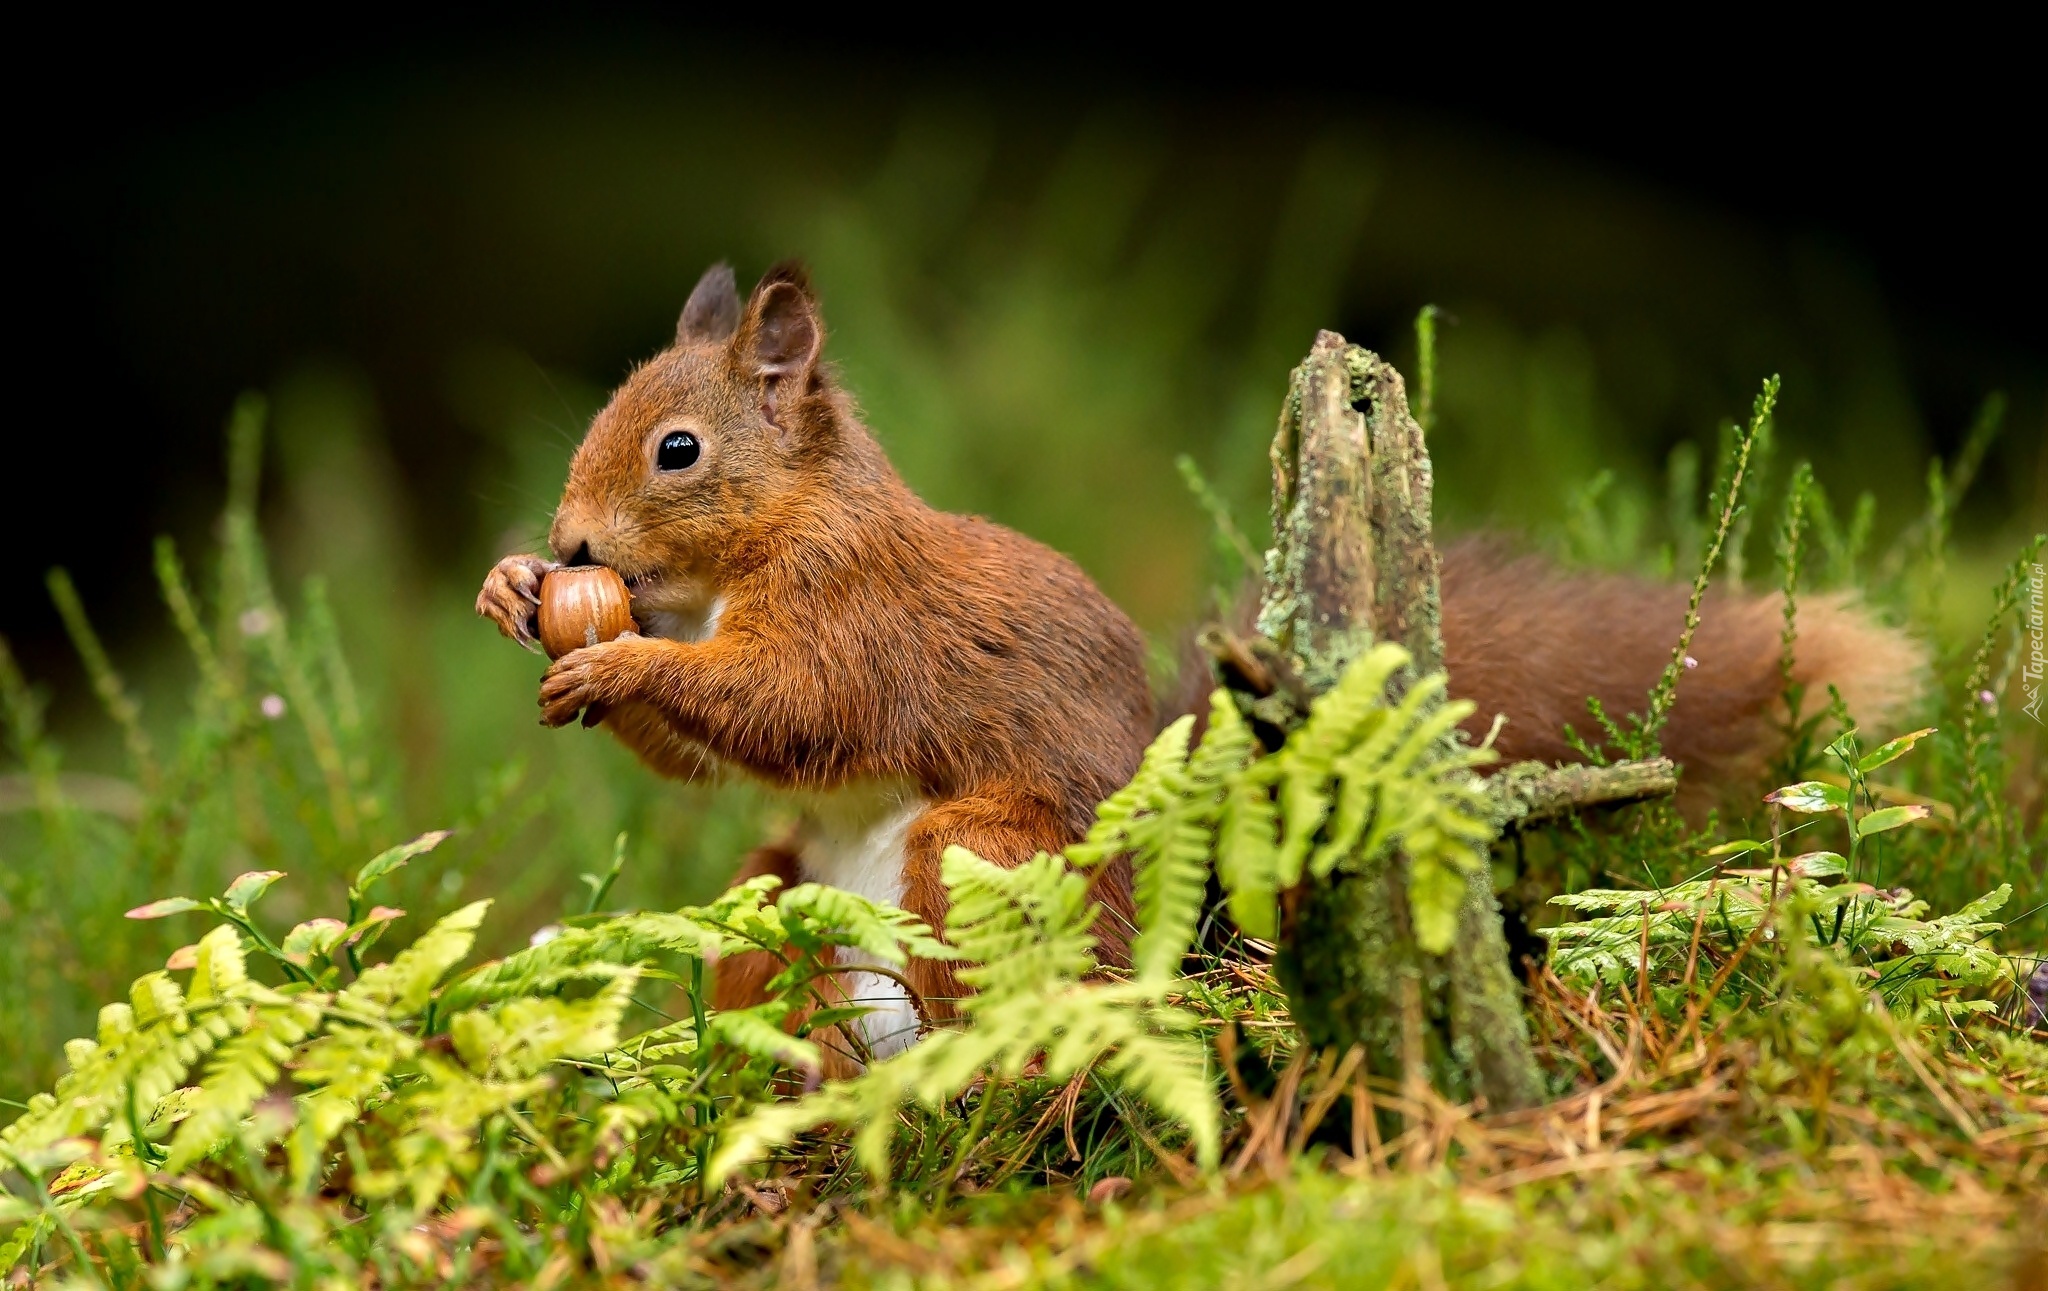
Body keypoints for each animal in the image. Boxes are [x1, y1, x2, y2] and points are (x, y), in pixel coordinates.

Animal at [479, 260, 1916, 1049]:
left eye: (677, 450)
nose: (569, 540)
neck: (766, 541)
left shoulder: (856, 615)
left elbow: (787, 704)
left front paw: (618, 665)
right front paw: (516, 591)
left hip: (980, 855)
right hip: (776, 893)